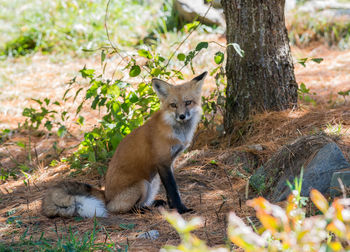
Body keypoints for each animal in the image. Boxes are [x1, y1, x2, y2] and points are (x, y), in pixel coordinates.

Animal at [43, 72, 208, 218]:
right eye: (173, 105)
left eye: (188, 102)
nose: (182, 116)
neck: (177, 130)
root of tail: (106, 195)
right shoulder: (163, 162)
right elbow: (173, 191)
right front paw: (181, 209)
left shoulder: (169, 163)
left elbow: (171, 191)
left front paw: (173, 207)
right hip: (143, 183)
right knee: (122, 209)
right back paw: (142, 210)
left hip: (153, 181)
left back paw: (153, 204)